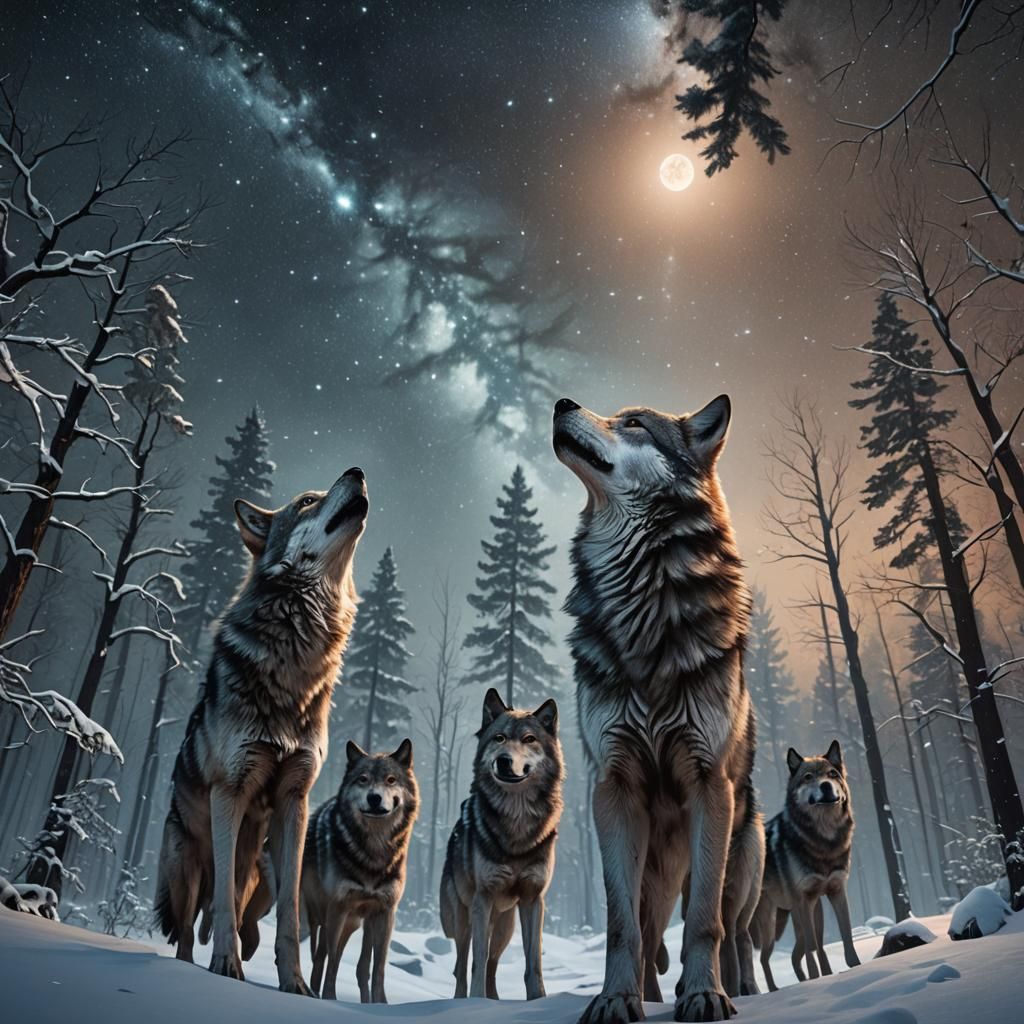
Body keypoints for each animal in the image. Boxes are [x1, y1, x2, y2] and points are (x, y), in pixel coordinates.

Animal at [154, 468, 368, 995]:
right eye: (308, 500)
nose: (357, 472)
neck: (296, 659)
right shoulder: (229, 792)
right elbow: (221, 911)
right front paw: (224, 967)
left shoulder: (296, 800)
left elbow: (291, 916)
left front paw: (295, 983)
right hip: (185, 870)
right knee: (189, 927)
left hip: (262, 878)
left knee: (242, 912)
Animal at [303, 739, 419, 1002]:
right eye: (363, 779)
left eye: (390, 779)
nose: (374, 798)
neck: (373, 852)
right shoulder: (338, 908)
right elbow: (332, 963)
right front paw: (330, 998)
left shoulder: (385, 912)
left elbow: (378, 968)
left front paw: (380, 1003)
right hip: (319, 916)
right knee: (319, 956)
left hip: (354, 923)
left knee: (351, 964)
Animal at [440, 688, 564, 1001]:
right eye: (499, 738)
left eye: (529, 739)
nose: (504, 760)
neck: (516, 824)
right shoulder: (482, 899)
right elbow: (477, 961)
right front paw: (476, 1003)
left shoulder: (534, 900)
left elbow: (534, 962)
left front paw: (538, 1000)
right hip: (464, 919)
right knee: (463, 964)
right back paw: (462, 999)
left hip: (504, 929)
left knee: (494, 965)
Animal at [553, 395, 763, 1023]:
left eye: (634, 424)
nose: (562, 402)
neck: (642, 605)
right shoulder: (614, 788)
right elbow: (621, 925)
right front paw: (615, 1000)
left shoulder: (708, 785)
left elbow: (703, 924)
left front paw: (704, 995)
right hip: (657, 868)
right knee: (648, 928)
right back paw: (646, 993)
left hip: (737, 855)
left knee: (734, 929)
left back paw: (740, 988)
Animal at [750, 741, 860, 991]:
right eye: (808, 777)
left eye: (832, 774)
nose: (826, 786)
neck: (823, 841)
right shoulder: (805, 900)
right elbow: (814, 947)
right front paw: (818, 979)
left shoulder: (836, 891)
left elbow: (844, 935)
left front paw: (855, 968)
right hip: (771, 925)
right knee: (762, 958)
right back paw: (773, 989)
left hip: (798, 919)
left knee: (794, 955)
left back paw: (803, 980)